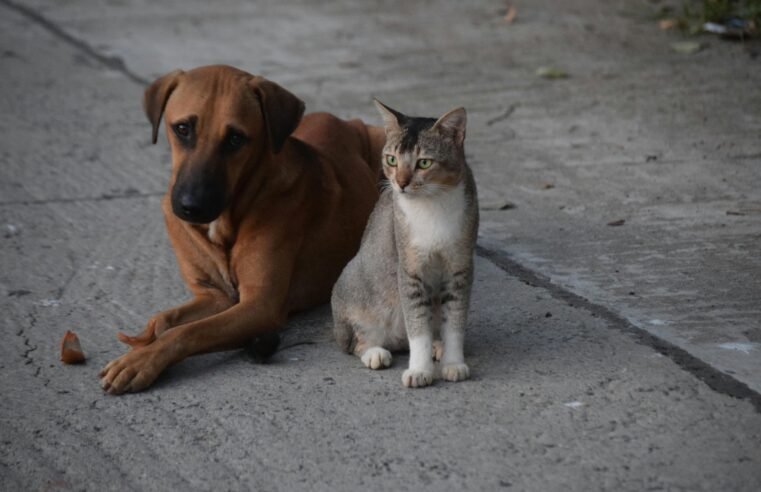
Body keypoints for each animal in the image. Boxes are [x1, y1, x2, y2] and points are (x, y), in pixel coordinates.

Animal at [100, 66, 382, 396]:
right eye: (182, 129)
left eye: (236, 138)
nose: (191, 206)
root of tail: (348, 120)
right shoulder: (215, 296)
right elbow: (166, 318)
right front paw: (143, 342)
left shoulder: (260, 304)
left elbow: (189, 332)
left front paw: (142, 360)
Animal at [330, 101, 478, 388]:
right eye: (391, 160)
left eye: (424, 162)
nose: (400, 183)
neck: (433, 205)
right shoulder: (409, 268)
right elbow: (417, 325)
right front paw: (419, 370)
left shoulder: (460, 267)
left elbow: (454, 322)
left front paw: (453, 363)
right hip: (354, 287)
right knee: (357, 342)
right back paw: (375, 353)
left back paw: (438, 346)